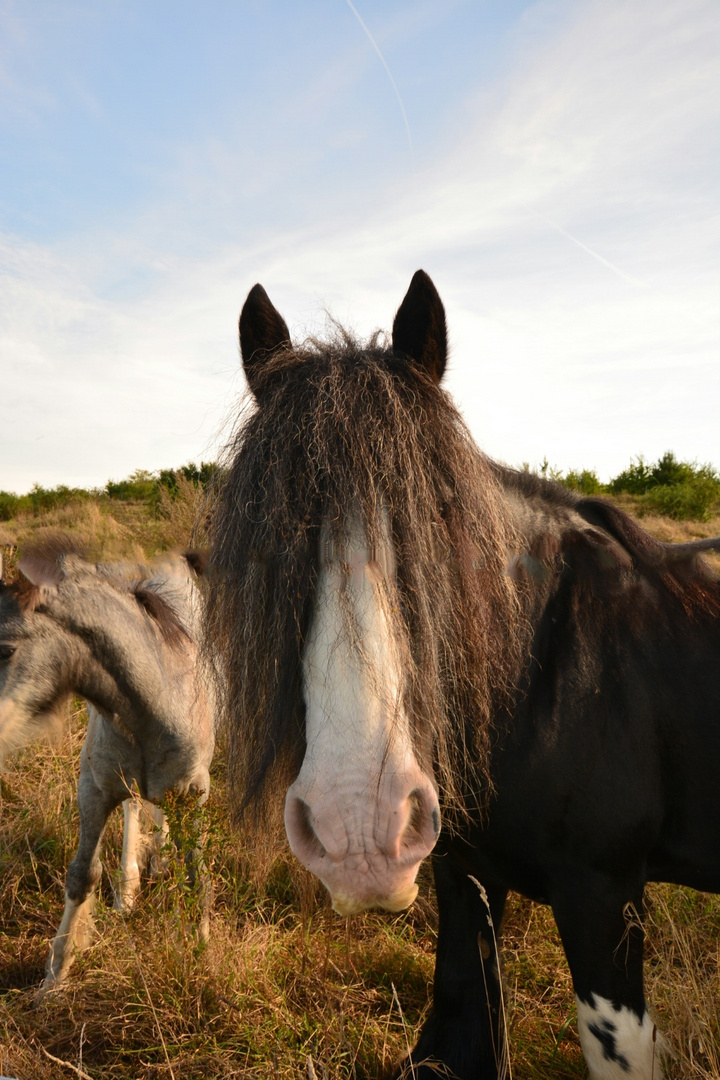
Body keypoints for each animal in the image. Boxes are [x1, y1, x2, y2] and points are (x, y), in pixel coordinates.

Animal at [0, 544, 213, 989]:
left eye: (6, 649)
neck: (154, 702)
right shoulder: (94, 790)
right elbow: (83, 874)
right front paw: (54, 978)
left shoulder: (195, 795)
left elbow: (196, 874)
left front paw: (202, 951)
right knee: (135, 805)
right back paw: (129, 890)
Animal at [207, 272, 720, 1080]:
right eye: (276, 538)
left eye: (439, 521)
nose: (361, 833)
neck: (548, 675)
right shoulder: (464, 879)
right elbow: (458, 1029)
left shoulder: (603, 895)